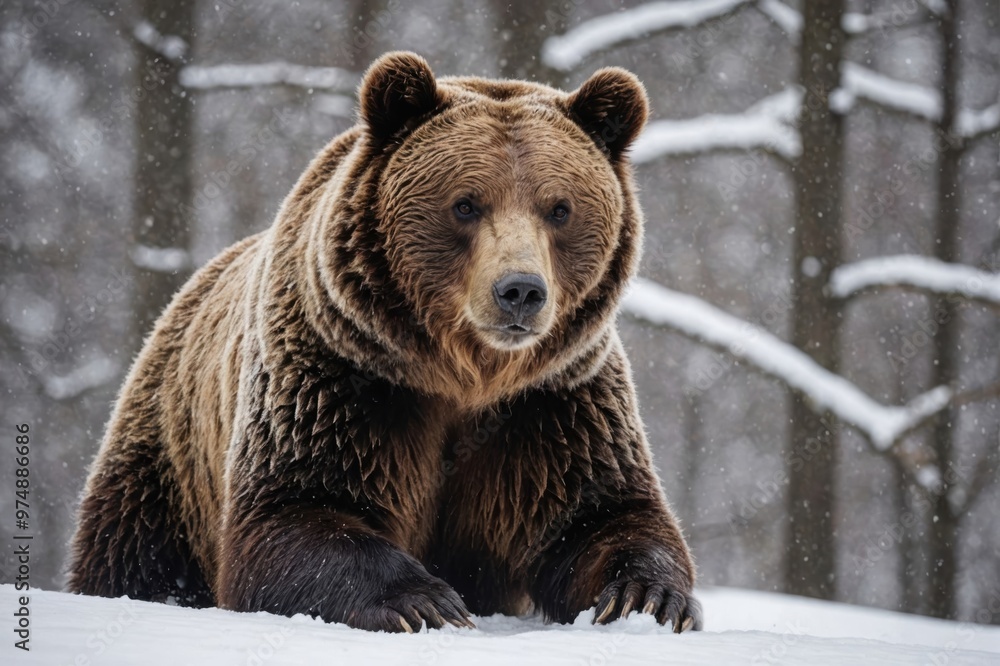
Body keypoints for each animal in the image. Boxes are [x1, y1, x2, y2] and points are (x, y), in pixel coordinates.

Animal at [66, 51, 702, 634]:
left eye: (559, 208)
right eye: (466, 203)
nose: (520, 291)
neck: (465, 375)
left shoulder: (553, 404)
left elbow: (600, 513)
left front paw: (647, 597)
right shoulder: (341, 377)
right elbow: (297, 507)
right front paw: (423, 601)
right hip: (167, 457)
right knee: (134, 547)